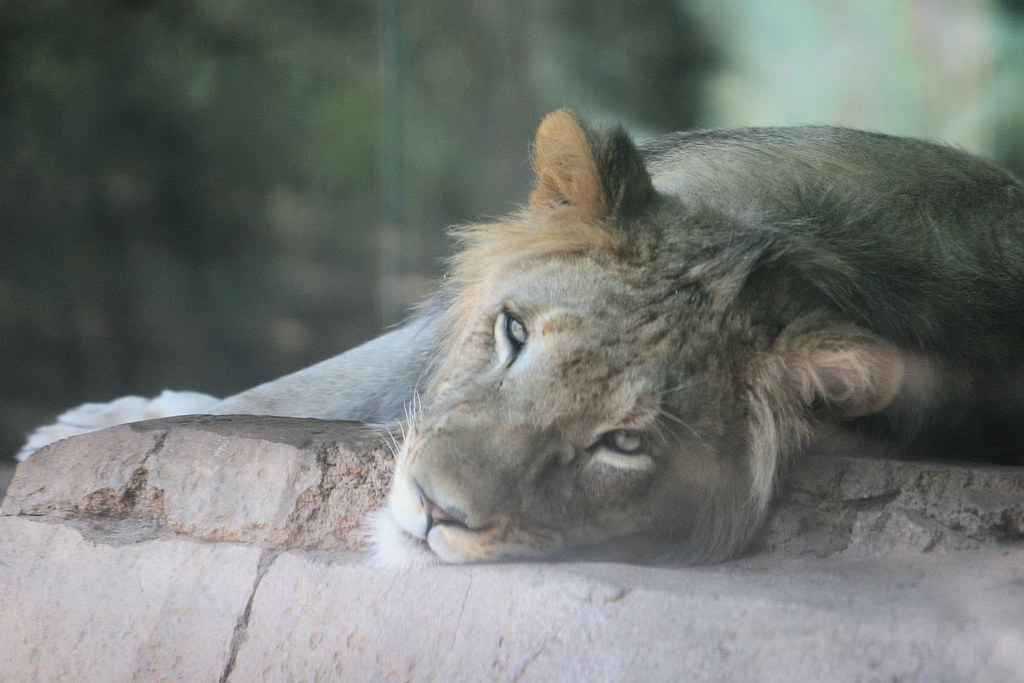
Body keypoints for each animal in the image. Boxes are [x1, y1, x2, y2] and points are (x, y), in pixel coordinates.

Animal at [20, 110, 1024, 568]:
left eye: (624, 444)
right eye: (511, 333)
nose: (433, 509)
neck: (792, 250)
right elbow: (332, 376)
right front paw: (92, 427)